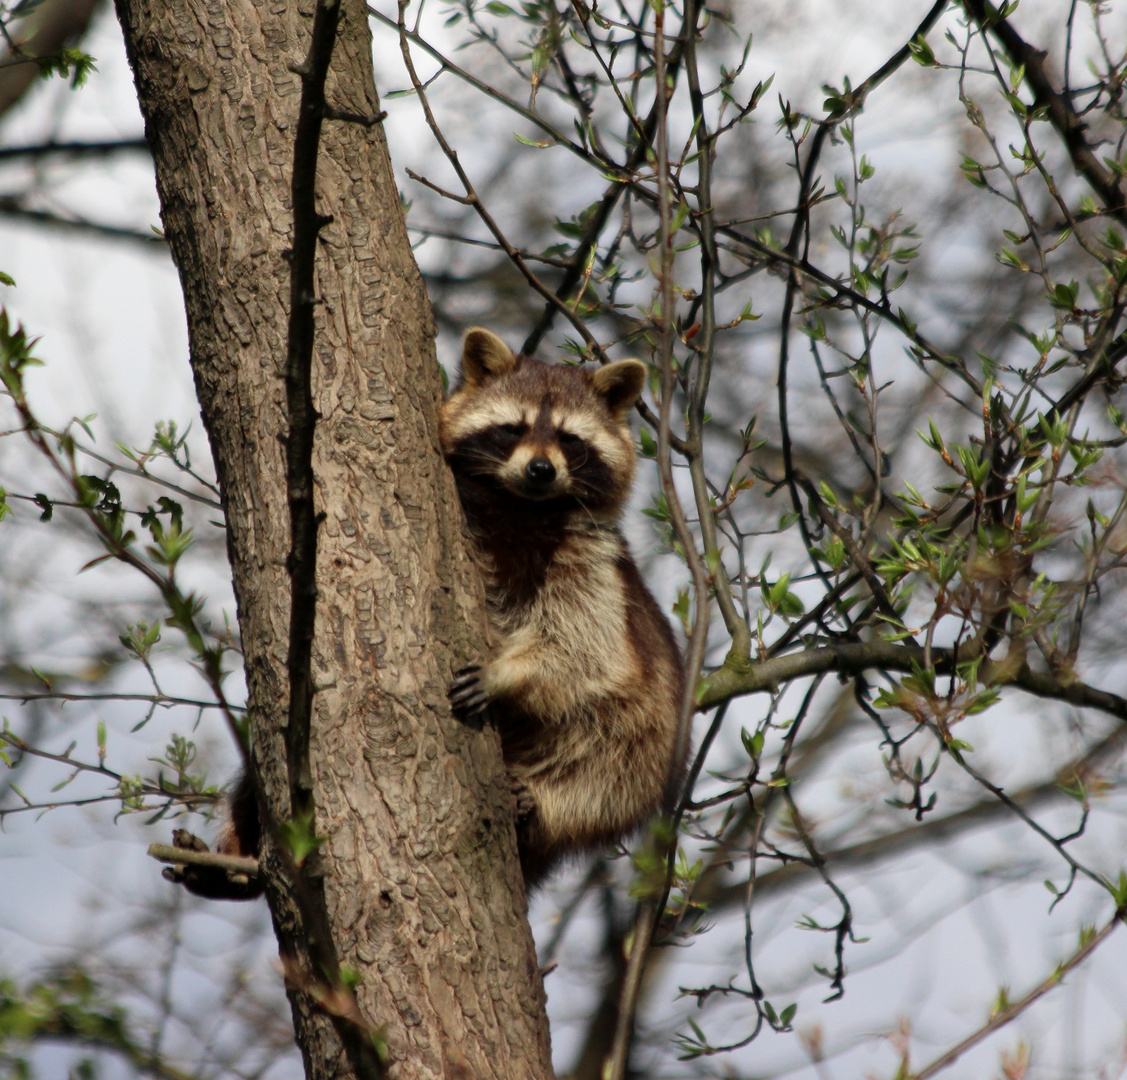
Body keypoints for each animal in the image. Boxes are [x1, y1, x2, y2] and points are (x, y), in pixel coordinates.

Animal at [441, 326, 685, 888]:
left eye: (570, 439)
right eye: (513, 428)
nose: (540, 469)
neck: (524, 507)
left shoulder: (593, 569)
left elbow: (587, 652)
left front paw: (507, 672)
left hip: (651, 740)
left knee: (609, 766)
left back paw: (547, 804)